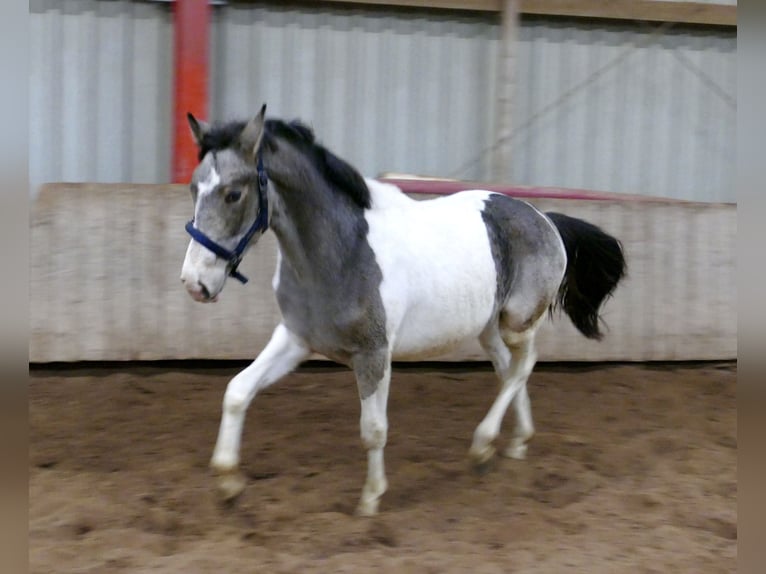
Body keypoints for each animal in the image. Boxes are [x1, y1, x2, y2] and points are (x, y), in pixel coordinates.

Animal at [180, 105, 626, 516]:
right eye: (193, 188)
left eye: (233, 193)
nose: (195, 283)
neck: (343, 252)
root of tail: (544, 218)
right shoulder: (295, 339)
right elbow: (237, 391)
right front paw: (228, 483)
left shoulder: (374, 353)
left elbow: (373, 429)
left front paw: (370, 499)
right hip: (486, 327)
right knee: (508, 369)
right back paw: (514, 443)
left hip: (517, 321)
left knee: (524, 364)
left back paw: (484, 445)